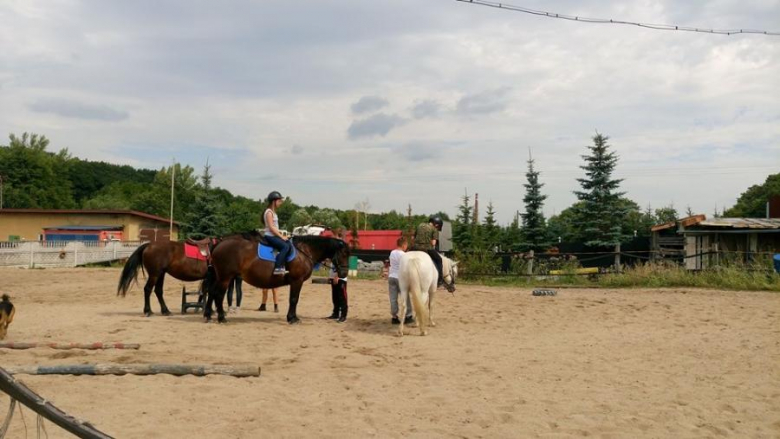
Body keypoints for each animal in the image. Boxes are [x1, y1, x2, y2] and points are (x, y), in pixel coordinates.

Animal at [203, 235, 348, 324]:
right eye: (343, 254)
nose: (344, 273)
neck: (304, 251)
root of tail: (219, 244)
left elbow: (294, 299)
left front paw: (293, 317)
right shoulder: (297, 280)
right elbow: (294, 299)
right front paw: (292, 319)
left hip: (219, 277)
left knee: (211, 292)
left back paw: (208, 315)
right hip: (225, 278)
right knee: (218, 295)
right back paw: (221, 318)